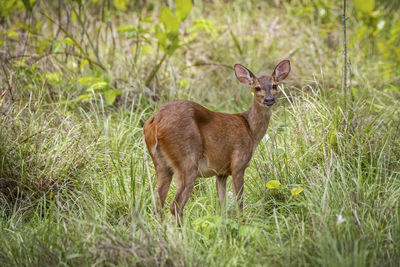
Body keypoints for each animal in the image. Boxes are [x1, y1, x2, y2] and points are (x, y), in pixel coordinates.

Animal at [144, 60, 290, 222]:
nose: (269, 100)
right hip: (187, 160)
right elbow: (239, 202)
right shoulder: (238, 163)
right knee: (175, 205)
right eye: (256, 87)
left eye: (275, 85)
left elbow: (222, 205)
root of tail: (154, 122)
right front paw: (242, 222)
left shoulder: (221, 172)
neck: (250, 130)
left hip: (161, 164)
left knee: (157, 205)